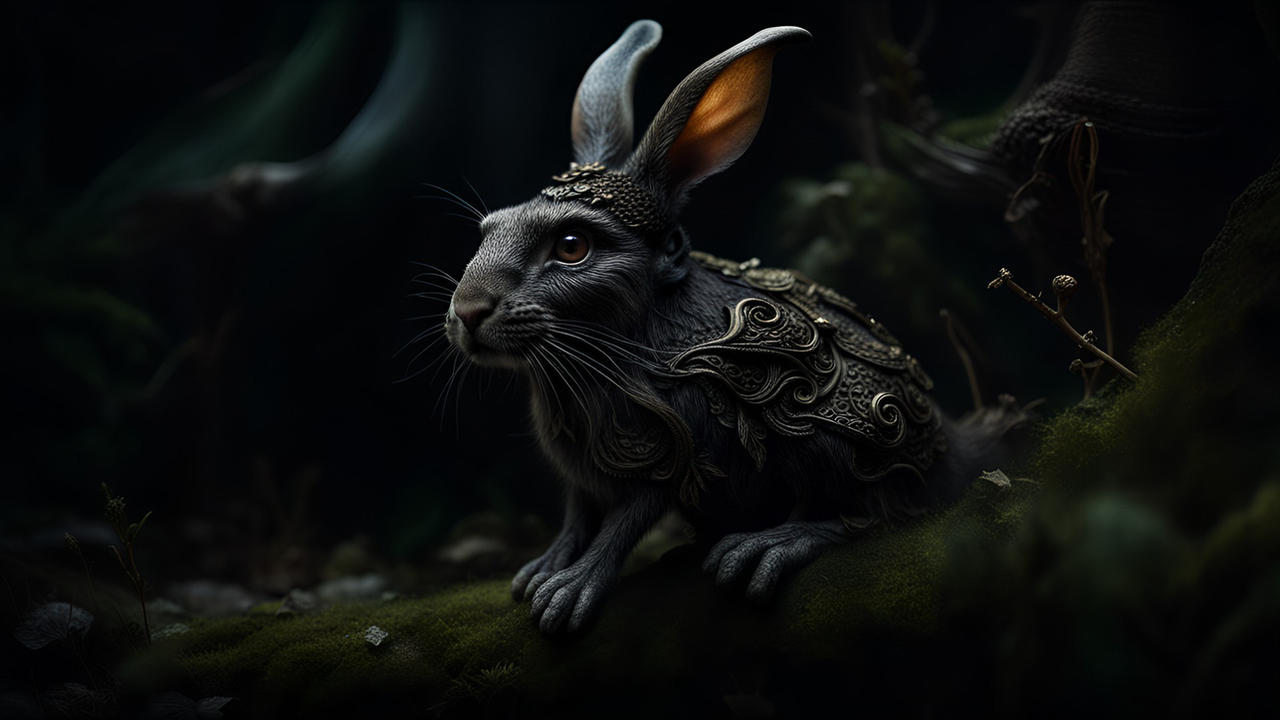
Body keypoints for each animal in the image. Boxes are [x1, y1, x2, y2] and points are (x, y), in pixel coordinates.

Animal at [442, 20, 1026, 633]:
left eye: (573, 246)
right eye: (489, 228)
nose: (468, 311)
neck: (621, 337)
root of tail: (950, 452)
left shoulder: (670, 453)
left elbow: (622, 527)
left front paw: (568, 594)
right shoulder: (584, 477)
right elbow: (578, 519)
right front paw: (540, 569)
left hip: (842, 449)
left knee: (876, 514)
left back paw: (765, 547)